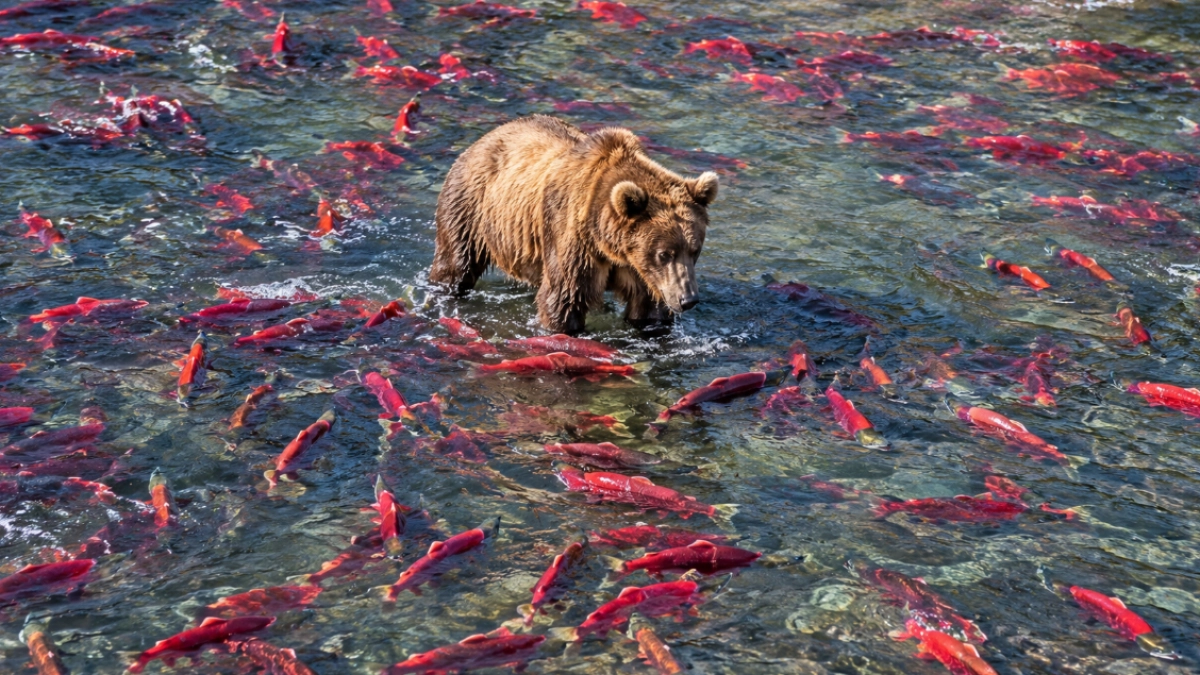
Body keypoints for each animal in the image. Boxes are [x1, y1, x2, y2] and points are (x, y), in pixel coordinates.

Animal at [429, 115, 718, 334]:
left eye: (695, 250)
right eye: (664, 254)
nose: (688, 299)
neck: (611, 245)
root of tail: (484, 138)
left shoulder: (642, 271)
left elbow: (648, 308)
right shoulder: (576, 240)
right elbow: (564, 299)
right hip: (470, 205)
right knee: (456, 263)